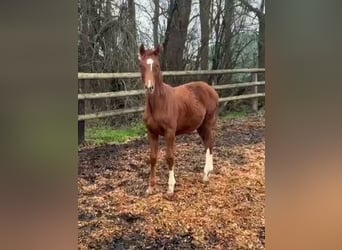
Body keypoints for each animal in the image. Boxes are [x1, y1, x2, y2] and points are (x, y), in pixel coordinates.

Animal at [139, 44, 219, 197]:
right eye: (141, 65)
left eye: (157, 65)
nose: (149, 87)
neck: (159, 103)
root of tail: (212, 89)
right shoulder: (151, 133)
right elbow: (152, 158)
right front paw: (150, 187)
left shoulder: (170, 133)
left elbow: (170, 157)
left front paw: (170, 188)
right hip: (200, 126)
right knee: (208, 144)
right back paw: (207, 174)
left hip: (208, 123)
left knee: (209, 143)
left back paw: (206, 175)